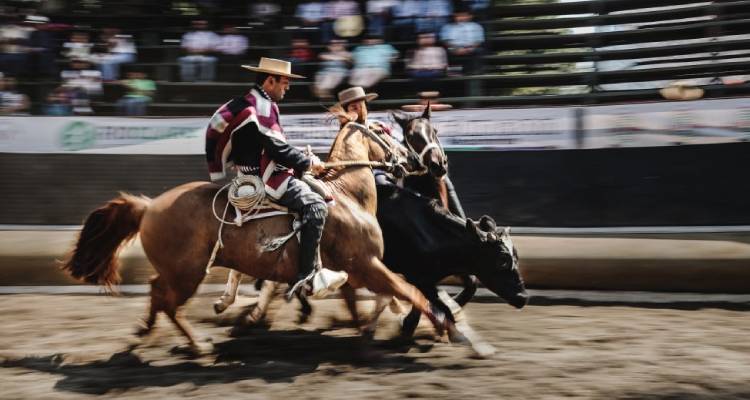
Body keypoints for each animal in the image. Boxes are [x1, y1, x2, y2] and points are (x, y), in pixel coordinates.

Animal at [63, 122, 446, 354]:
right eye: (385, 131)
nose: (414, 160)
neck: (347, 195)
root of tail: (148, 206)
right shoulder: (367, 265)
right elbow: (407, 291)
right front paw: (442, 325)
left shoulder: (355, 273)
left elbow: (375, 301)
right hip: (187, 274)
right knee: (166, 300)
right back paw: (197, 345)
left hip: (181, 272)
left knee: (158, 294)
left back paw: (149, 331)